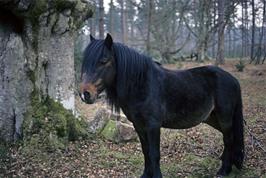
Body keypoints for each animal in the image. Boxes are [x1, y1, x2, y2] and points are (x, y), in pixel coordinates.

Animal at [80, 34, 244, 177]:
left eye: (103, 61)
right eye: (85, 62)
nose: (85, 94)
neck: (142, 84)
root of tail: (233, 79)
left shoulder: (153, 126)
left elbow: (154, 154)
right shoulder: (139, 126)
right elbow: (146, 151)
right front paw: (146, 175)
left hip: (224, 118)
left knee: (229, 139)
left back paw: (224, 170)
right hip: (212, 118)